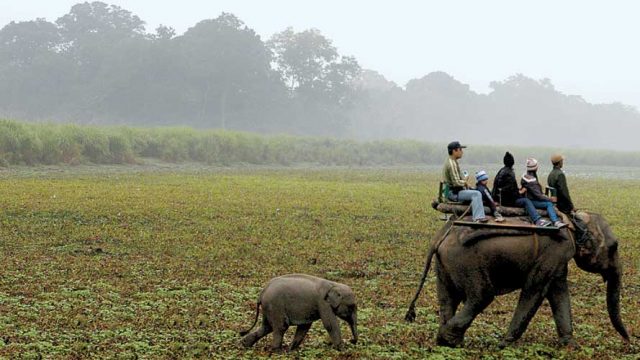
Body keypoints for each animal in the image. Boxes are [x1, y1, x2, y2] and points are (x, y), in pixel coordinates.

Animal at [404, 212, 632, 348]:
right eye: (614, 247)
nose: (630, 340)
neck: (572, 221)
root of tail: (441, 236)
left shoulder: (558, 259)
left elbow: (558, 292)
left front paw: (570, 346)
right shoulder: (555, 252)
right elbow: (535, 290)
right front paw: (505, 344)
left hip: (444, 263)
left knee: (447, 299)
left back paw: (447, 342)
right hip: (465, 261)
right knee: (481, 296)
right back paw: (449, 339)